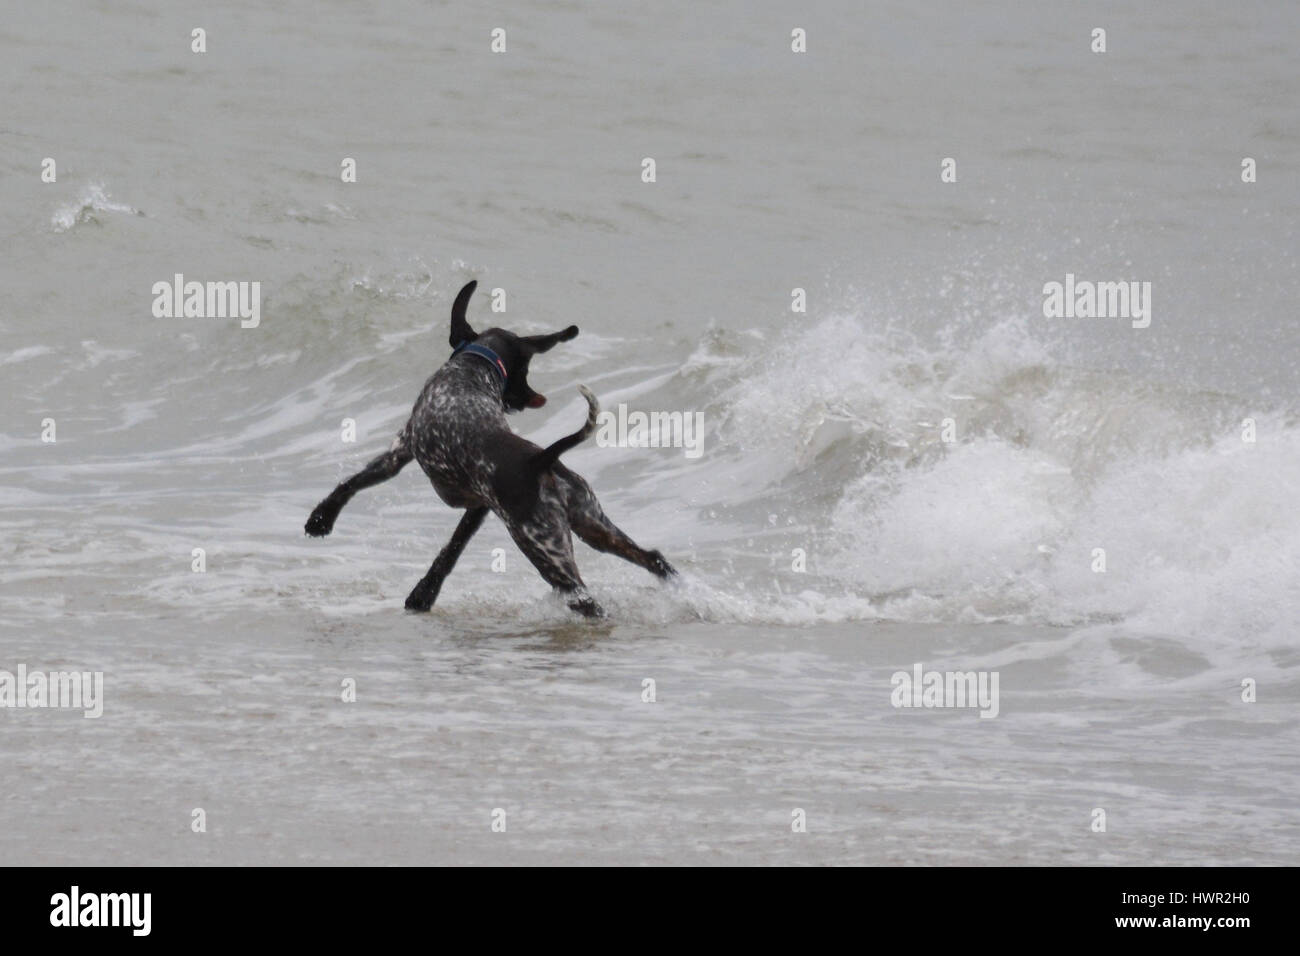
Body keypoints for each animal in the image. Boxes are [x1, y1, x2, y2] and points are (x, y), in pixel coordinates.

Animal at [300, 280, 676, 616]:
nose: (527, 400)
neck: (472, 370)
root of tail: (541, 459)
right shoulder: (480, 506)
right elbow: (450, 551)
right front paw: (425, 592)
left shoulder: (401, 448)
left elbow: (351, 483)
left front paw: (321, 518)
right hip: (594, 526)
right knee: (654, 558)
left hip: (543, 547)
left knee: (584, 599)